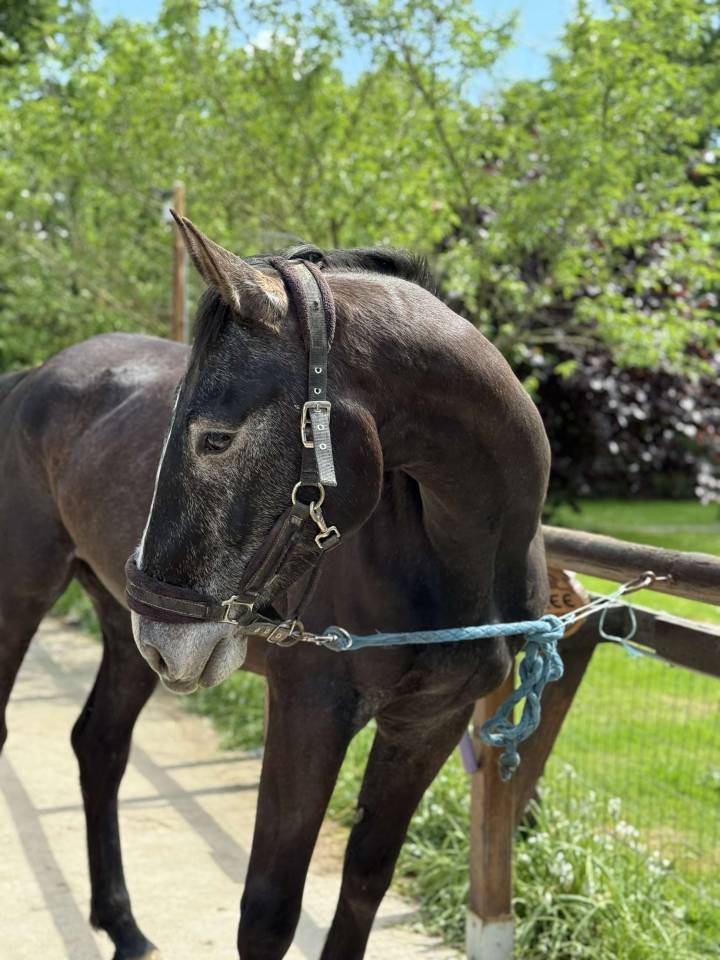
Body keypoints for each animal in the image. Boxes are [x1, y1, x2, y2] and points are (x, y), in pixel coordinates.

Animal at [0, 218, 550, 960]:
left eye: (215, 438)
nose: (169, 631)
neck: (459, 561)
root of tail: (35, 376)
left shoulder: (430, 722)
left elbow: (365, 881)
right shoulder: (309, 710)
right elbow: (267, 913)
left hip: (123, 628)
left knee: (101, 745)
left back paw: (124, 926)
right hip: (29, 596)